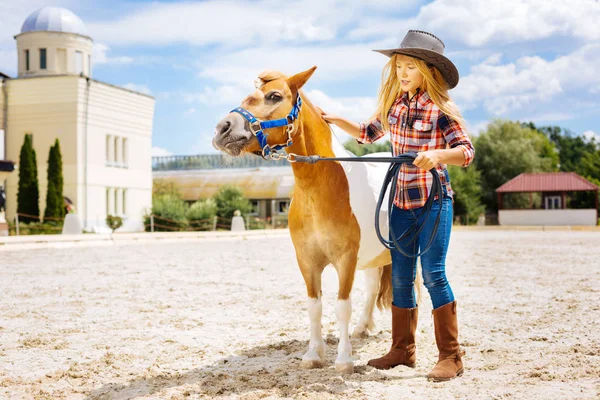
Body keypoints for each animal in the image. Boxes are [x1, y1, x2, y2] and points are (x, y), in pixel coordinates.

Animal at [212, 66, 408, 376]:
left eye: (274, 95)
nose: (222, 129)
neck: (322, 189)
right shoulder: (306, 260)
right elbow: (314, 306)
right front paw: (313, 354)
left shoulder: (345, 260)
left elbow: (341, 306)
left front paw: (344, 360)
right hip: (374, 256)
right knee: (373, 287)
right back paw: (363, 328)